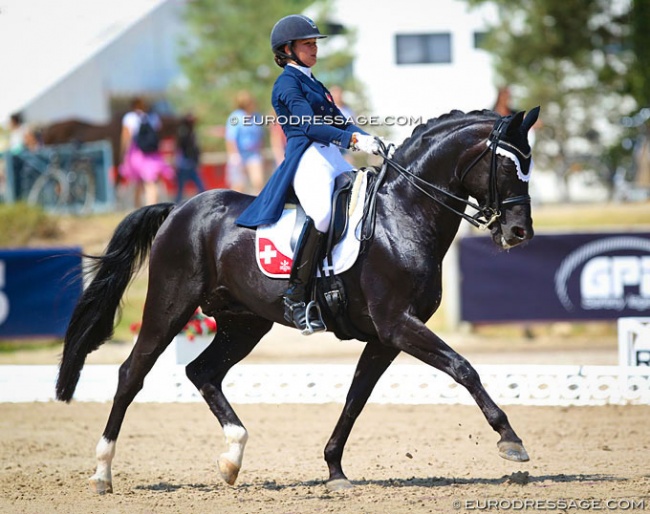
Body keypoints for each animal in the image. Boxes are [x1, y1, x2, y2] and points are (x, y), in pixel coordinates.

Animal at [55, 106, 540, 490]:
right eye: (507, 166)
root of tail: (180, 208)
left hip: (244, 322)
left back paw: (232, 458)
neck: (401, 215)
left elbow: (356, 398)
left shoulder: (384, 337)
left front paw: (335, 470)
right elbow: (463, 368)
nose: (520, 232)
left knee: (202, 372)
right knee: (131, 374)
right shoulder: (397, 324)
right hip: (169, 306)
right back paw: (103, 472)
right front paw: (510, 440)